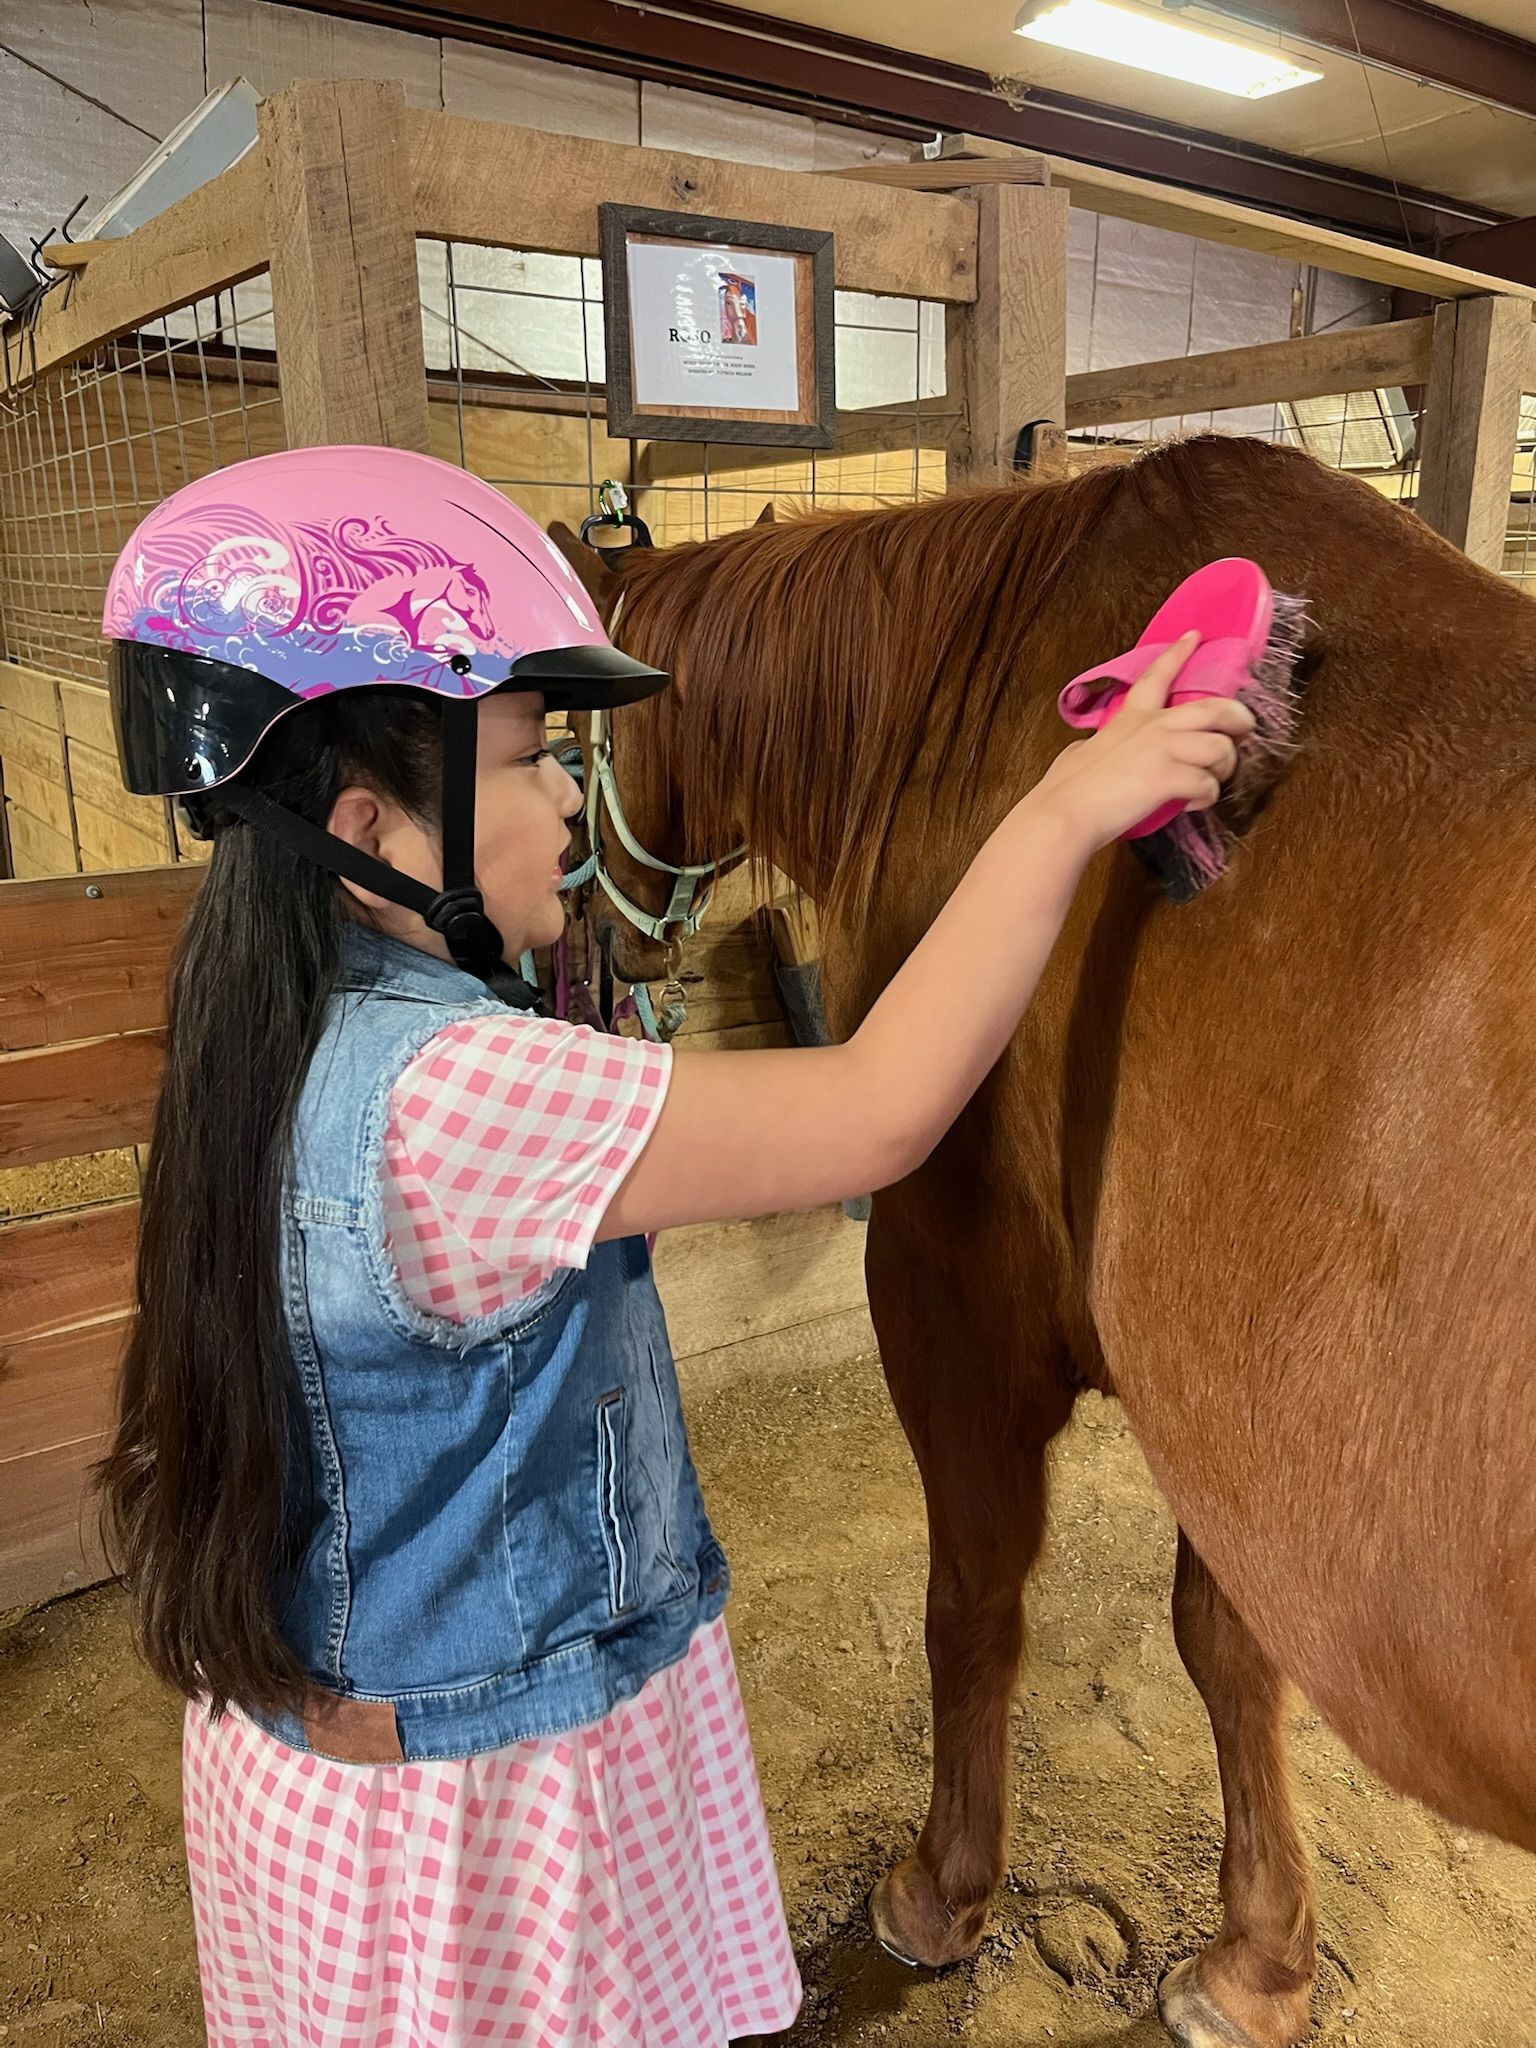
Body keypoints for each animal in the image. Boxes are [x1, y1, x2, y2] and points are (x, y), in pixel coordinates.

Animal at [556, 435, 1536, 2048]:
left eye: (566, 761)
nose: (611, 956)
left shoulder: (957, 1299)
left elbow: (975, 1601)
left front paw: (940, 1891)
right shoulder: (1232, 1402)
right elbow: (1227, 1647)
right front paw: (1257, 1960)